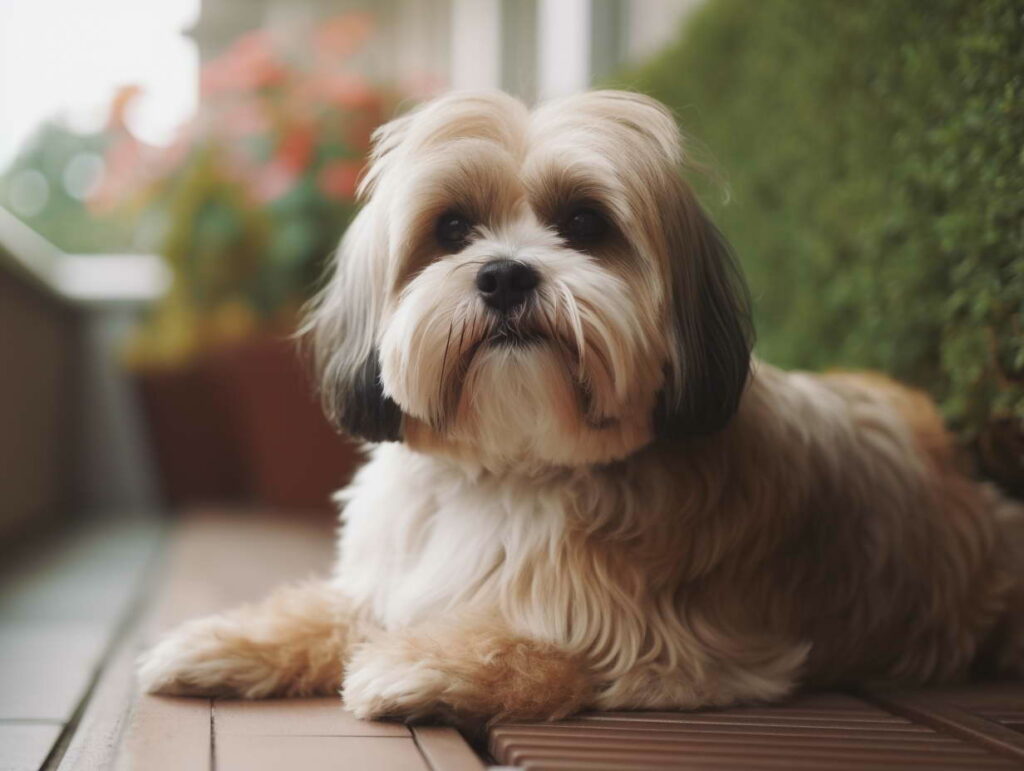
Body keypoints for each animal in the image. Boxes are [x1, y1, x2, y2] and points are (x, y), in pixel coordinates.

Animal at [138, 90, 1024, 720]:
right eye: (451, 228)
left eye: (584, 222)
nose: (504, 275)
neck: (513, 469)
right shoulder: (387, 577)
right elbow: (323, 609)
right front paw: (225, 640)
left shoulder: (681, 646)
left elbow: (539, 646)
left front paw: (420, 663)